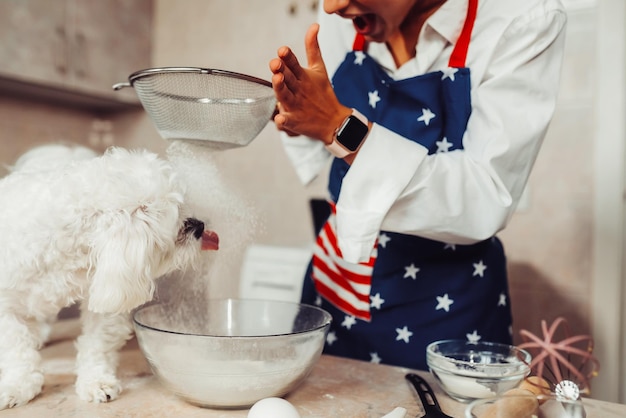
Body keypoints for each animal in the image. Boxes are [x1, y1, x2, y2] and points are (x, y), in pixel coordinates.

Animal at [0, 145, 219, 408]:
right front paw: (17, 386)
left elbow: (97, 345)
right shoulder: (6, 307)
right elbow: (17, 350)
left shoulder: (107, 293)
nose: (200, 226)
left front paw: (96, 382)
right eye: (179, 221)